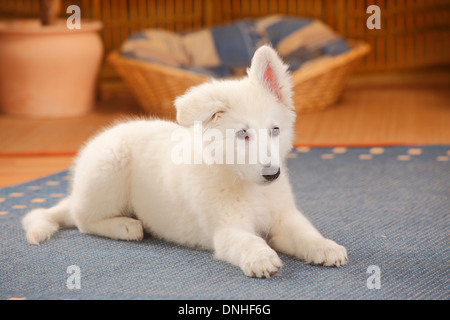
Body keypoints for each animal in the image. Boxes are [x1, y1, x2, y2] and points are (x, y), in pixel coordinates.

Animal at [22, 45, 348, 278]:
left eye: (275, 130)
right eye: (243, 134)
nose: (272, 174)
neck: (245, 183)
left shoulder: (283, 217)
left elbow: (306, 232)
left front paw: (325, 247)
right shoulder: (226, 230)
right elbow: (249, 241)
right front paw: (261, 257)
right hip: (109, 168)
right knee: (82, 220)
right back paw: (125, 226)